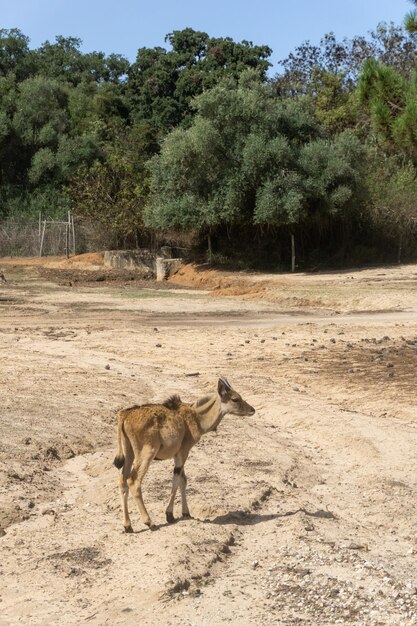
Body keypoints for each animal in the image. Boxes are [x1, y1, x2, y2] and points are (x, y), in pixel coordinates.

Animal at [112, 376, 254, 532]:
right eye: (235, 398)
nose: (252, 410)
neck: (196, 417)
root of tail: (125, 415)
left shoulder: (178, 454)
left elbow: (183, 480)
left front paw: (185, 512)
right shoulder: (183, 452)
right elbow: (176, 480)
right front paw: (170, 515)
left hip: (129, 454)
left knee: (122, 481)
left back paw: (127, 525)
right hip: (146, 454)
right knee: (133, 481)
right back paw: (149, 522)